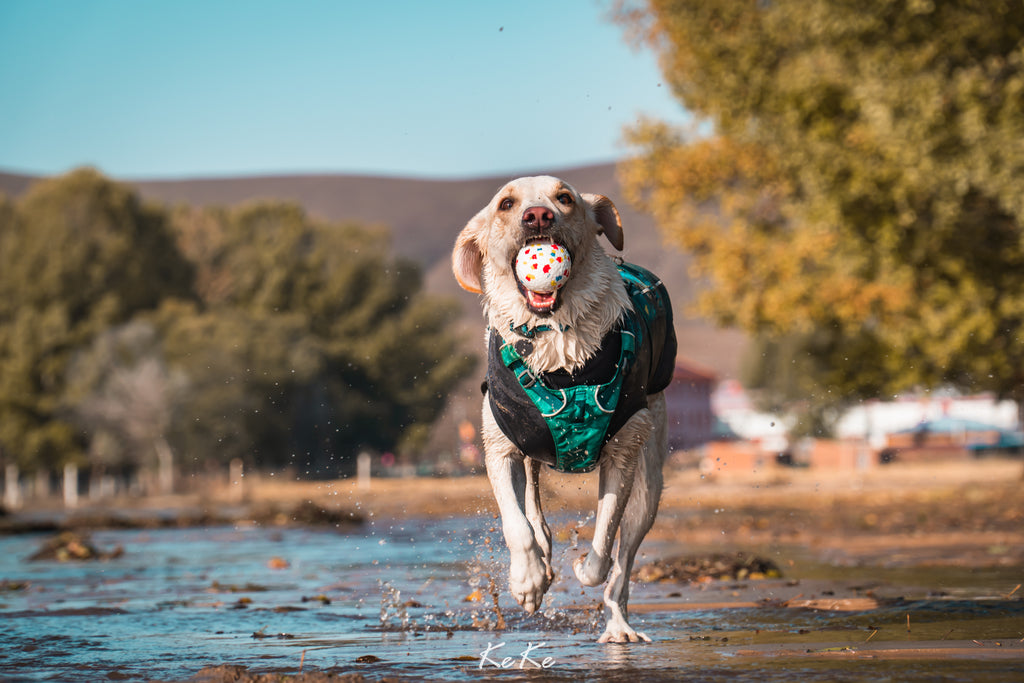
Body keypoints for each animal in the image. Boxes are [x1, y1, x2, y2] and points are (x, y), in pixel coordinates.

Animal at [452, 175, 675, 643]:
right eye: (506, 204)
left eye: (565, 198)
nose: (538, 216)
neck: (557, 340)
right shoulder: (500, 445)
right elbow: (516, 524)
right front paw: (528, 580)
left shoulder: (623, 452)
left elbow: (604, 547)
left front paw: (579, 566)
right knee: (532, 498)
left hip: (650, 479)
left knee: (624, 561)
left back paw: (619, 625)